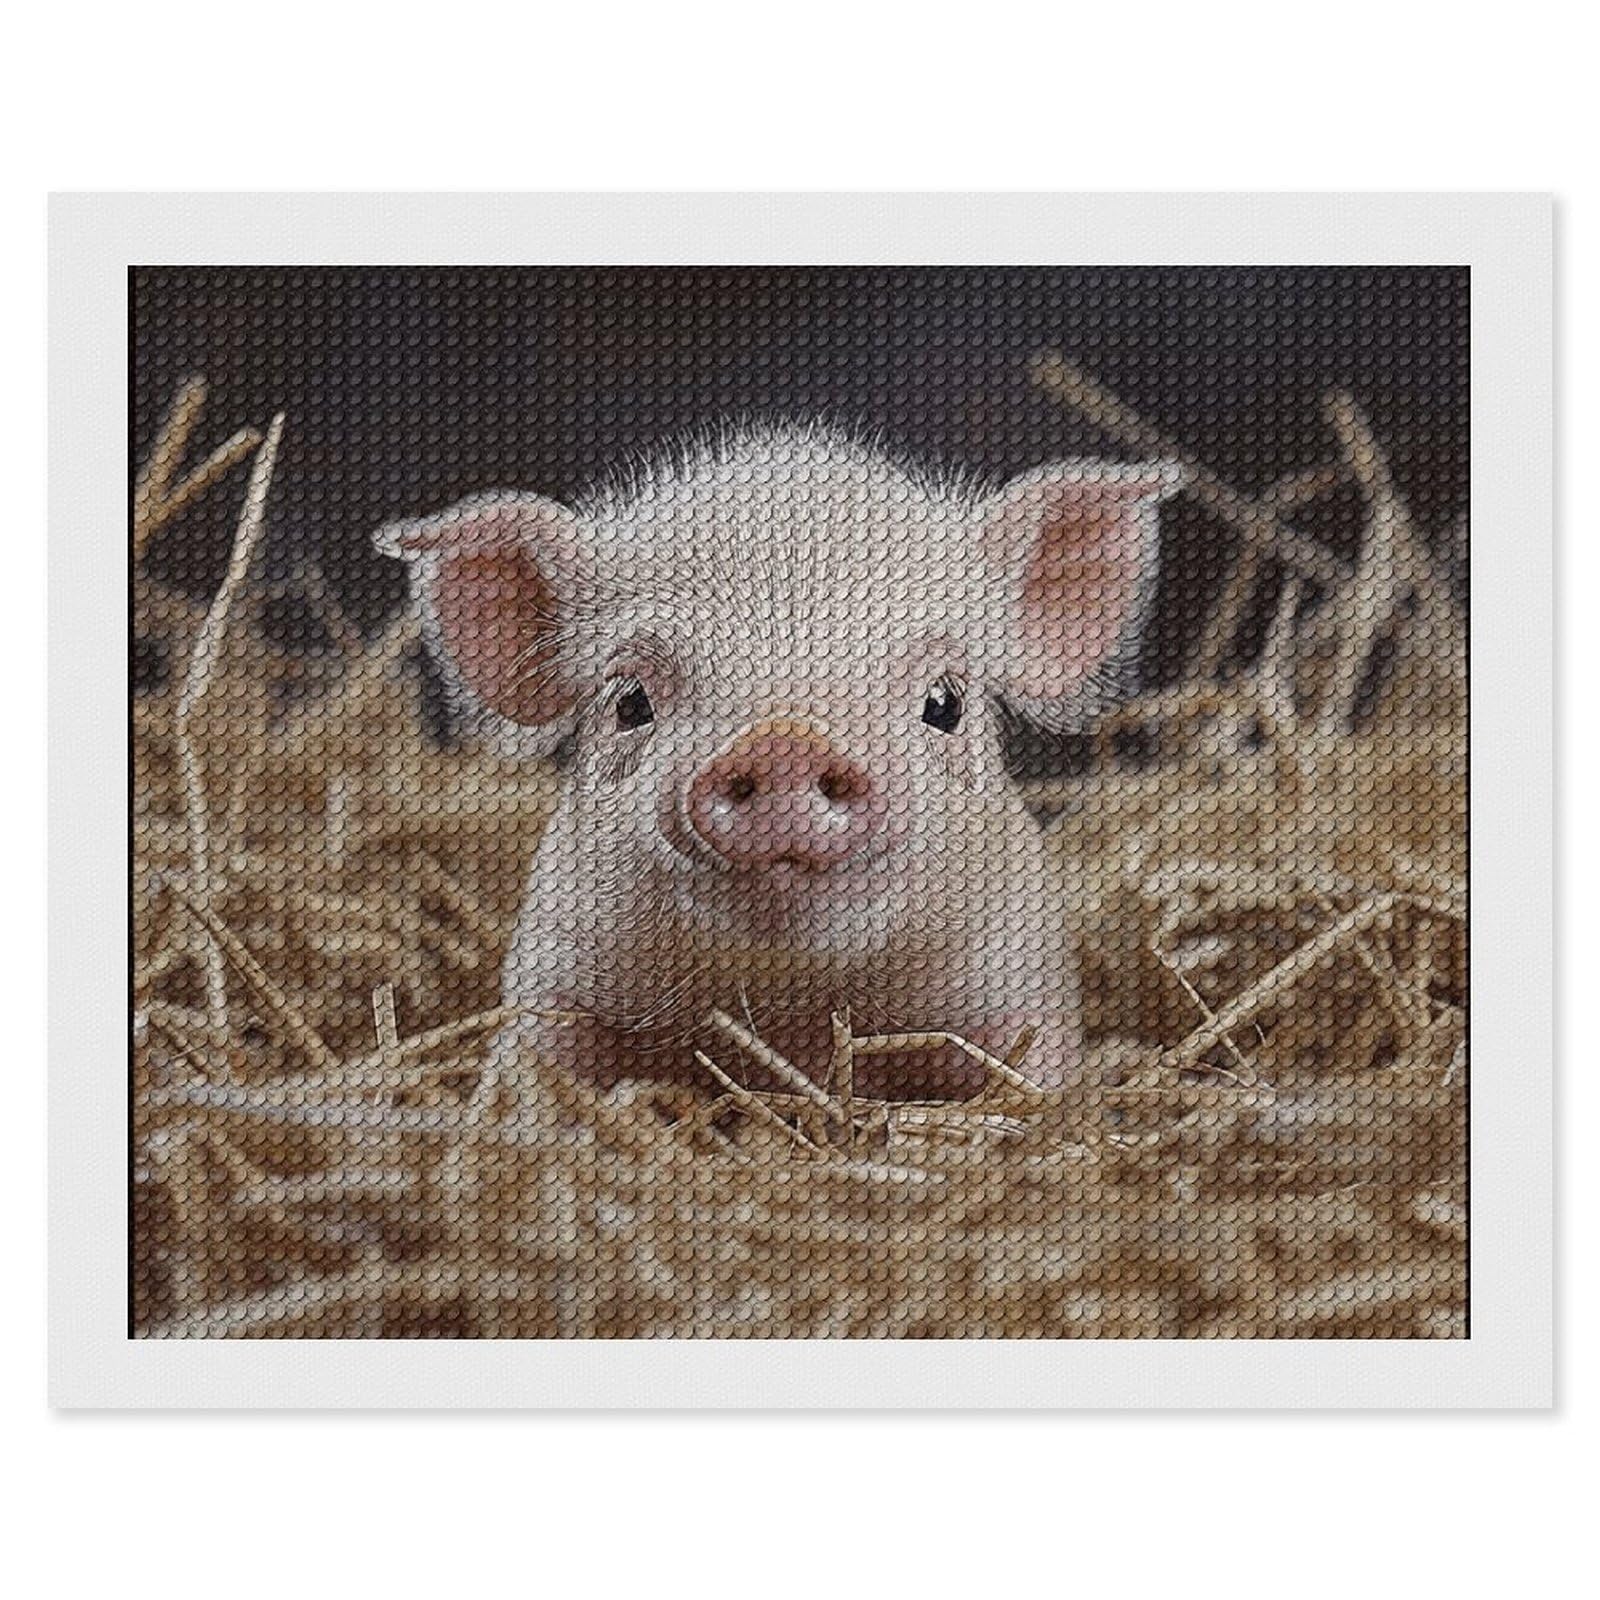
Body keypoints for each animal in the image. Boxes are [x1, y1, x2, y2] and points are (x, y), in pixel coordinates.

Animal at [376, 424, 1183, 1099]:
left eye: (945, 702)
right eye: (630, 700)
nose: (784, 741)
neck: (790, 1014)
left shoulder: (1021, 981)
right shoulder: (555, 973)